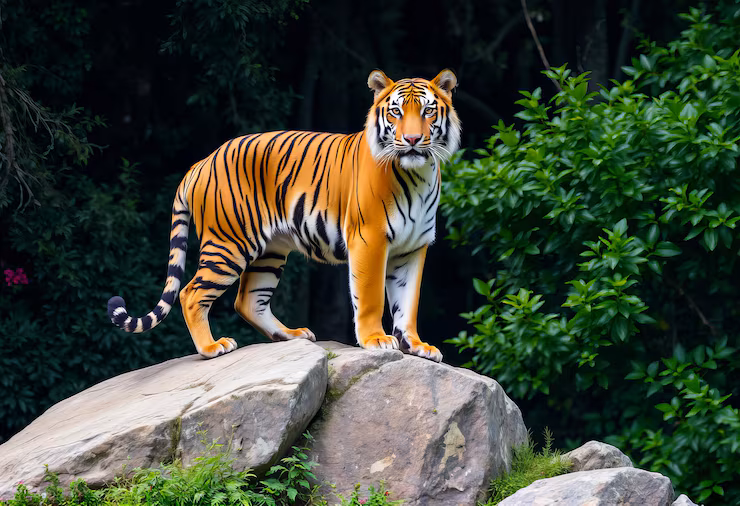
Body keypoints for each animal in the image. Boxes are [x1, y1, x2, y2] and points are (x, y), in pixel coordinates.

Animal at [107, 69, 461, 363]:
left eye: (428, 111)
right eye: (395, 112)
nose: (413, 140)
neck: (418, 176)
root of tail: (203, 161)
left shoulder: (413, 248)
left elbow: (407, 302)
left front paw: (416, 345)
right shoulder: (370, 239)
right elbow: (371, 294)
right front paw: (376, 339)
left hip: (270, 251)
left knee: (248, 301)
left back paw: (292, 335)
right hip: (228, 244)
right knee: (191, 293)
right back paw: (211, 347)